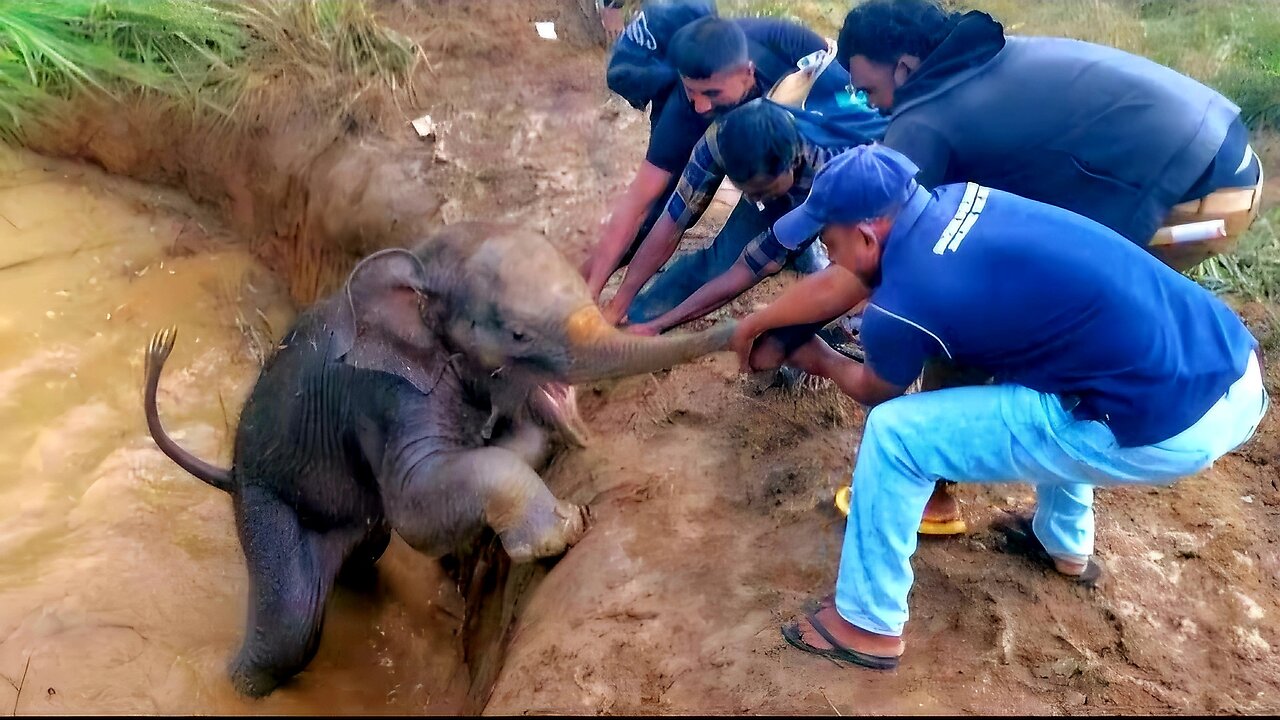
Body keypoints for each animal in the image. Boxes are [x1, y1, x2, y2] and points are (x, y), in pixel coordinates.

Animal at [143, 222, 734, 698]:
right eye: (517, 333)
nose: (742, 331)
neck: (419, 264)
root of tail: (231, 474)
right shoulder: (388, 395)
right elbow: (415, 509)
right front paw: (564, 533)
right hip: (266, 500)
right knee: (292, 626)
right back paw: (239, 686)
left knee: (366, 550)